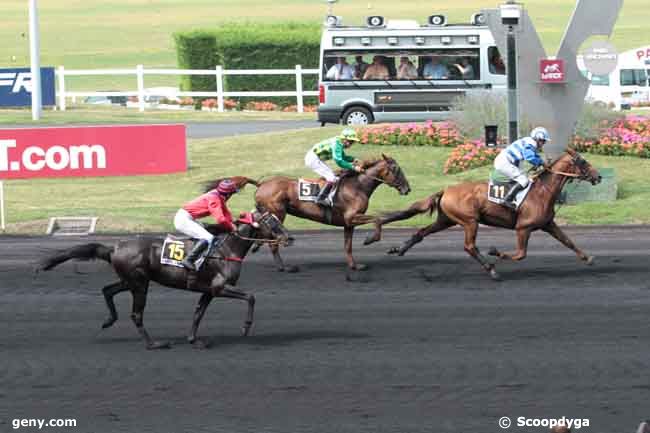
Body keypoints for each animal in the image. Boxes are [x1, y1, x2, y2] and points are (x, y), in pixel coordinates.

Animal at [36, 211, 288, 350]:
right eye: (272, 221)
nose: (289, 237)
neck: (226, 250)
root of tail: (114, 247)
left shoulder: (208, 290)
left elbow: (198, 313)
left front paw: (193, 339)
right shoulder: (219, 287)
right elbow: (251, 297)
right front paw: (245, 327)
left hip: (131, 281)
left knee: (107, 290)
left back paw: (109, 320)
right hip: (139, 284)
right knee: (136, 314)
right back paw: (153, 344)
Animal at [249, 154, 408, 270]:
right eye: (396, 169)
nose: (407, 188)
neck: (357, 186)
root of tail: (261, 184)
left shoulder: (348, 224)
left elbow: (348, 246)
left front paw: (354, 266)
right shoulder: (351, 217)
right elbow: (377, 219)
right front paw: (370, 239)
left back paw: (257, 244)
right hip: (277, 215)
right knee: (273, 242)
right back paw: (283, 267)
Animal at [362, 147, 600, 278]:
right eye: (583, 161)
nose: (598, 176)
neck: (542, 191)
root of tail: (446, 190)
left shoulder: (548, 224)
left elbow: (568, 241)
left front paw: (588, 258)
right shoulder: (523, 228)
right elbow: (520, 254)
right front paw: (495, 252)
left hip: (446, 220)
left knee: (421, 232)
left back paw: (399, 249)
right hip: (469, 221)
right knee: (469, 246)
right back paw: (491, 269)